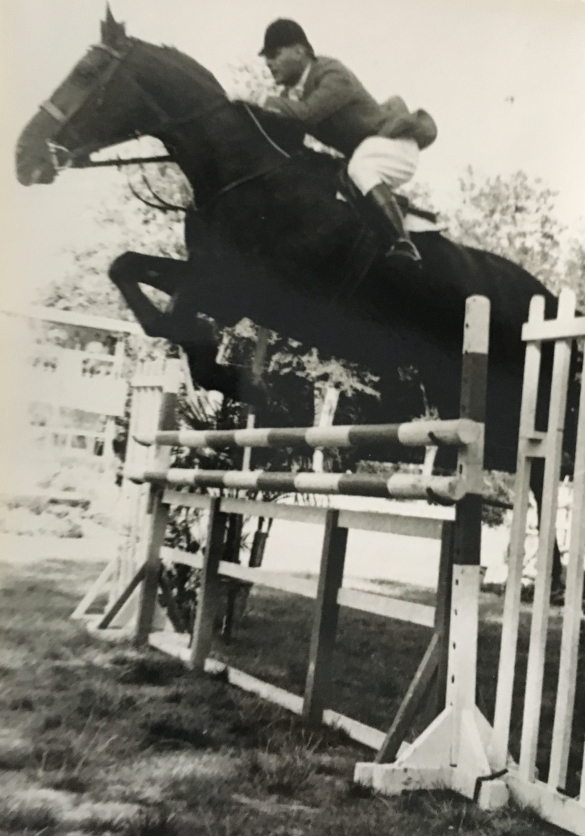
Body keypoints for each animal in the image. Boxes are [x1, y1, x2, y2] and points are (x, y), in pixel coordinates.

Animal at [15, 9, 580, 592]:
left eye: (86, 74)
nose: (24, 158)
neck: (240, 173)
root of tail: (544, 297)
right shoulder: (214, 279)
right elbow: (130, 274)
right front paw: (229, 377)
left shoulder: (240, 289)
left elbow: (179, 318)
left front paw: (234, 376)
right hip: (451, 386)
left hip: (515, 396)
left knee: (544, 467)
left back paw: (552, 580)